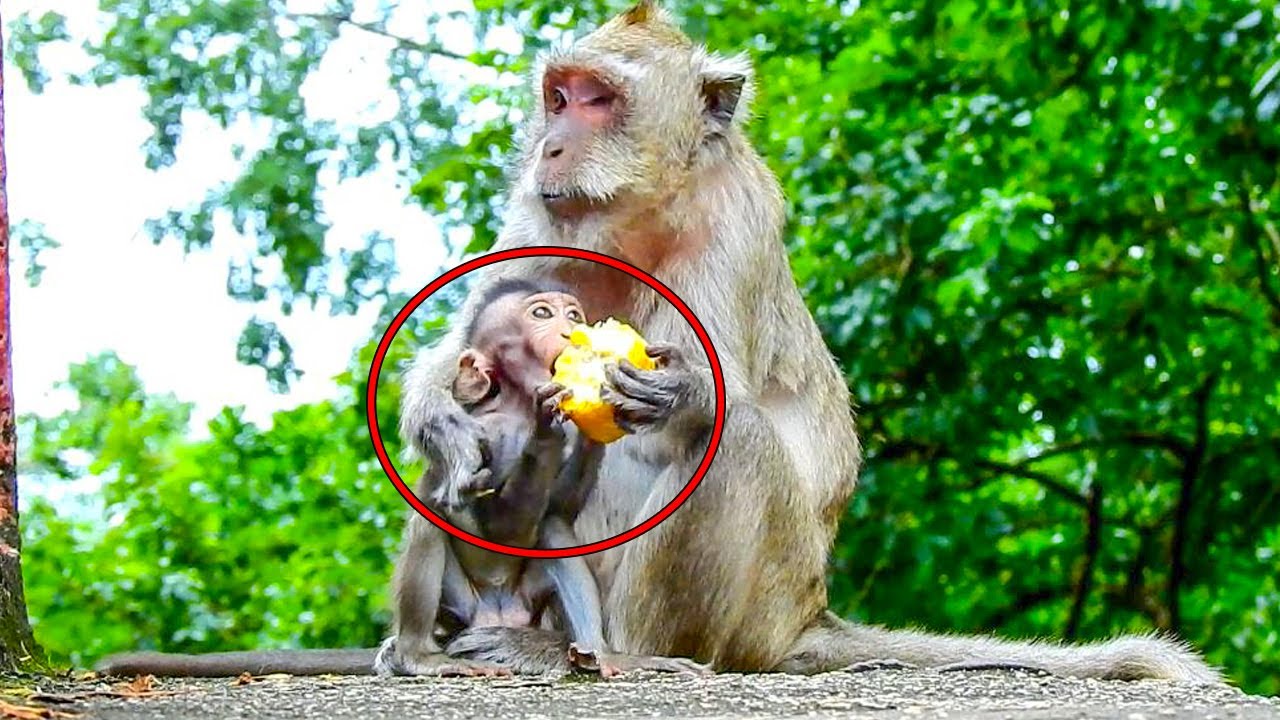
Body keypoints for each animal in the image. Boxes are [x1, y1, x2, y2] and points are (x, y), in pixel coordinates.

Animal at [96, 0, 1221, 683]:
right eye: (557, 96)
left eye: (598, 98)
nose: (552, 141)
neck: (641, 207)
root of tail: (808, 616)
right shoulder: (540, 213)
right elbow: (471, 335)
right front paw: (436, 409)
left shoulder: (734, 220)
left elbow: (691, 408)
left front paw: (671, 396)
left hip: (758, 606)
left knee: (728, 452)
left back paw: (625, 651)